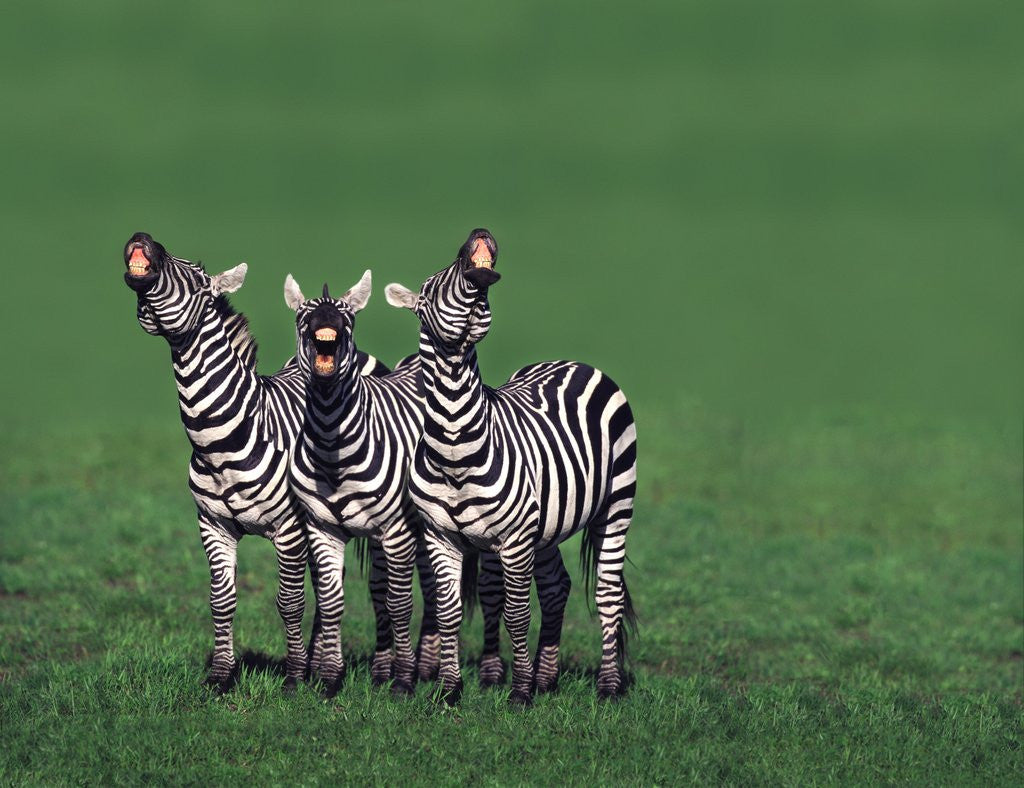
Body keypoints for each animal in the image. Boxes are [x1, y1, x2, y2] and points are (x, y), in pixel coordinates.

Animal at [121, 231, 393, 693]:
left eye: (198, 278)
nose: (143, 238)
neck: (221, 441)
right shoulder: (213, 524)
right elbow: (221, 599)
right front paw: (221, 676)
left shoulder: (289, 527)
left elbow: (289, 601)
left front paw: (294, 677)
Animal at [283, 272, 507, 695]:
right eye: (302, 319)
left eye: (348, 320)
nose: (326, 325)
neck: (332, 444)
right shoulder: (323, 528)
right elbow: (333, 601)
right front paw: (330, 678)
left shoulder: (397, 529)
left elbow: (400, 603)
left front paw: (403, 681)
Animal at [385, 228, 638, 705]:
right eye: (427, 287)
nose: (478, 233)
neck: (455, 443)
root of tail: (571, 361)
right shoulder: (442, 537)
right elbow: (449, 612)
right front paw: (450, 690)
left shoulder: (516, 538)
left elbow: (517, 615)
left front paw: (520, 693)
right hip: (549, 523)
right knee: (557, 587)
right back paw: (548, 678)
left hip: (617, 504)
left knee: (608, 594)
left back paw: (608, 687)